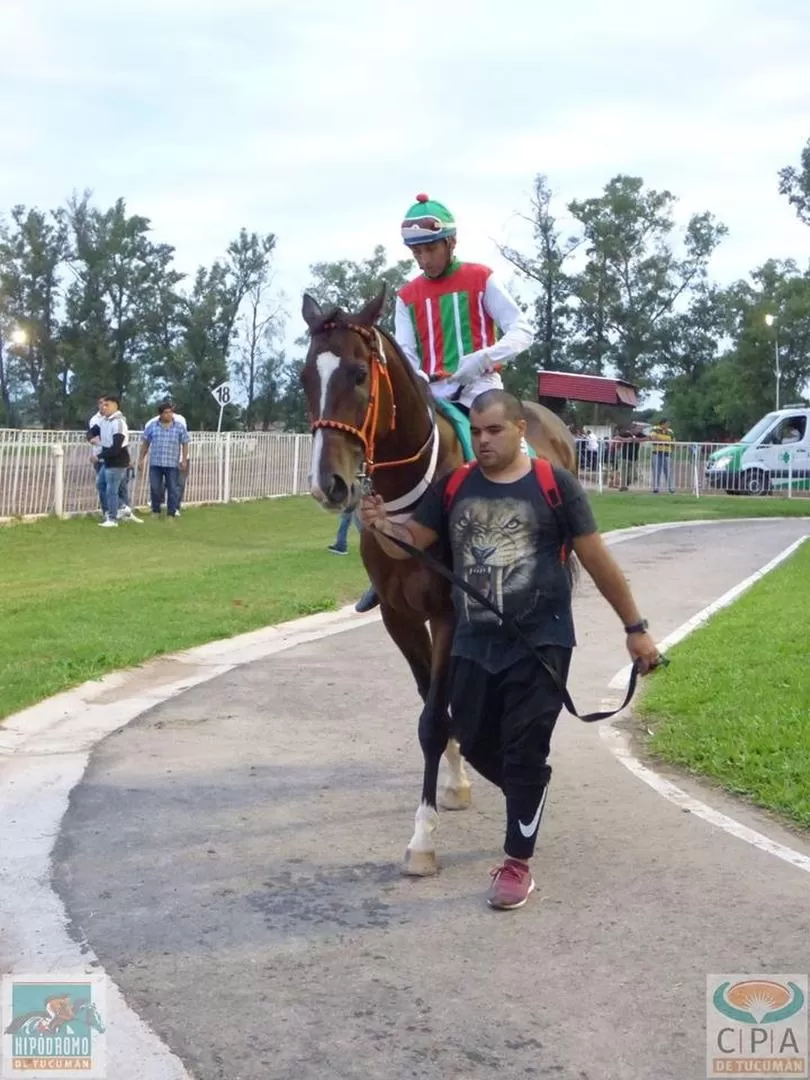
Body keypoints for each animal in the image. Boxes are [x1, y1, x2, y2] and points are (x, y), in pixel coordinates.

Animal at [302, 285, 578, 876]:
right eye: (306, 376)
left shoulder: (452, 612)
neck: (414, 497)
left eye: (358, 374)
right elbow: (431, 701)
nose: (329, 484)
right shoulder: (399, 615)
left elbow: (433, 717)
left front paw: (423, 838)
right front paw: (453, 781)